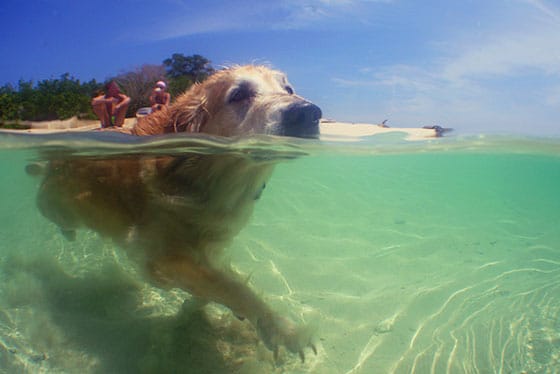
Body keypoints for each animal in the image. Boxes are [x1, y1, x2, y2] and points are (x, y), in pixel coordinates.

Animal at [31, 65, 320, 362]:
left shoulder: (212, 243)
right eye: (238, 94)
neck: (208, 180)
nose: (308, 113)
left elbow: (214, 282)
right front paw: (282, 329)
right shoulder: (158, 256)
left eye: (288, 89)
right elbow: (228, 285)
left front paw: (194, 310)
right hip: (57, 203)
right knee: (49, 206)